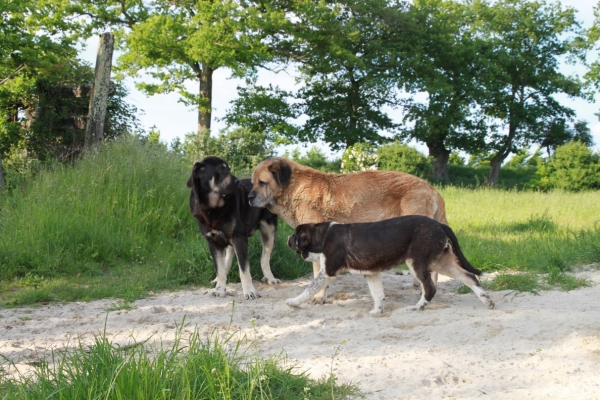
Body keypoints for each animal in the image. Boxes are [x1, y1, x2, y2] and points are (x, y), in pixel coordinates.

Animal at [188, 156, 282, 300]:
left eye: (228, 169)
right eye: (221, 169)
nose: (237, 181)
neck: (213, 208)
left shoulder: (239, 238)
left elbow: (244, 270)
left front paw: (250, 291)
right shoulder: (213, 241)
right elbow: (220, 270)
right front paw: (220, 289)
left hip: (269, 231)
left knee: (265, 259)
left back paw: (270, 278)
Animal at [246, 156, 448, 304]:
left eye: (262, 183)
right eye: (253, 183)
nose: (249, 197)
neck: (293, 188)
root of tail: (432, 189)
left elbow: (317, 276)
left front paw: (318, 298)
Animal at [288, 216, 494, 312]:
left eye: (295, 235)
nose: (287, 239)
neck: (323, 236)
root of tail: (439, 224)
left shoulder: (328, 272)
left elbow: (309, 289)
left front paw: (293, 302)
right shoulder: (371, 272)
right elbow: (378, 294)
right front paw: (377, 311)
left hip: (418, 262)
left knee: (430, 287)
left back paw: (417, 307)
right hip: (441, 262)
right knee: (469, 277)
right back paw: (487, 300)